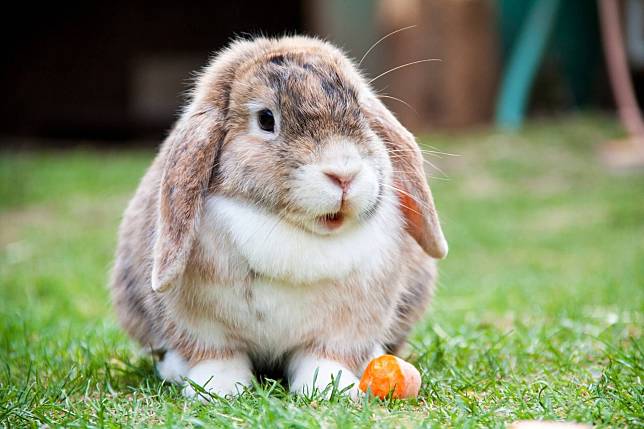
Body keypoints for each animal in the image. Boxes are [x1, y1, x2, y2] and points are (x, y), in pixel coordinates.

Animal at [110, 35, 446, 400]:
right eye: (266, 119)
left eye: (359, 109)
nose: (344, 175)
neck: (292, 230)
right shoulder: (202, 326)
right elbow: (218, 356)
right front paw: (219, 389)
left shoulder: (345, 327)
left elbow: (324, 357)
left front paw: (330, 388)